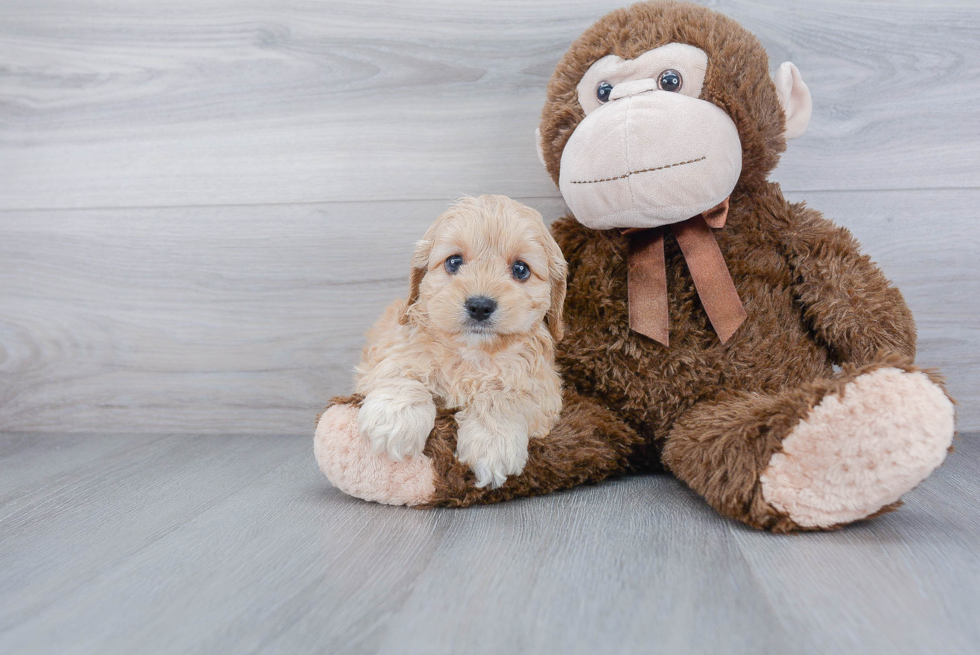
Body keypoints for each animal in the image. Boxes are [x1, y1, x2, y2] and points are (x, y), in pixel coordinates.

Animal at [352, 197, 568, 490]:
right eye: (453, 262)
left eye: (521, 269)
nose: (480, 306)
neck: (472, 353)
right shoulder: (389, 350)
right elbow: (401, 370)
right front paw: (395, 420)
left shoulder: (543, 388)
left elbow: (504, 396)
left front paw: (492, 444)